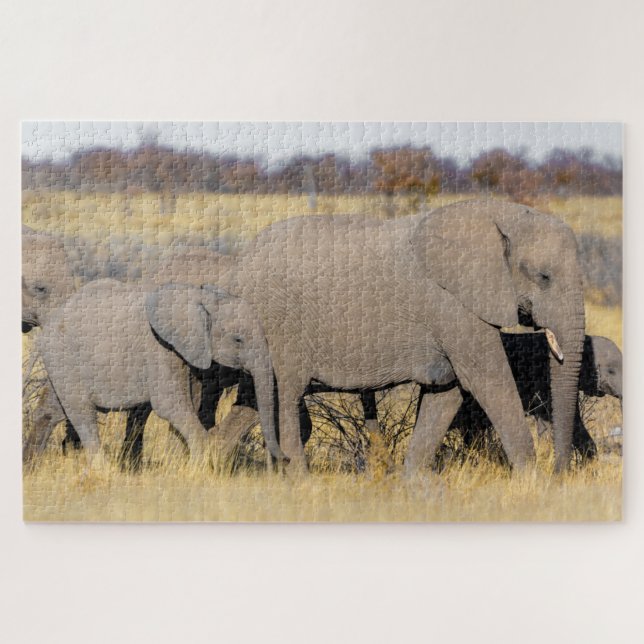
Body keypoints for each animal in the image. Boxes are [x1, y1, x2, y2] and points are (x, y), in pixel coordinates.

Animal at [25, 279, 286, 468]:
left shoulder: (189, 351)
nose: (283, 458)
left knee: (53, 410)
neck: (199, 297)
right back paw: (102, 470)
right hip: (63, 357)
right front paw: (201, 464)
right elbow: (170, 405)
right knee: (81, 411)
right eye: (238, 339)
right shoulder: (160, 349)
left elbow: (190, 403)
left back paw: (31, 464)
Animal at [221, 199, 586, 473]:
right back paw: (298, 478)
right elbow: (489, 382)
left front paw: (416, 483)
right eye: (543, 276)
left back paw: (216, 463)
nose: (560, 471)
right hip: (276, 324)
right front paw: (533, 483)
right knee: (286, 394)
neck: (500, 213)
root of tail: (240, 264)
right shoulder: (451, 305)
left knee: (253, 401)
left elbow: (447, 392)